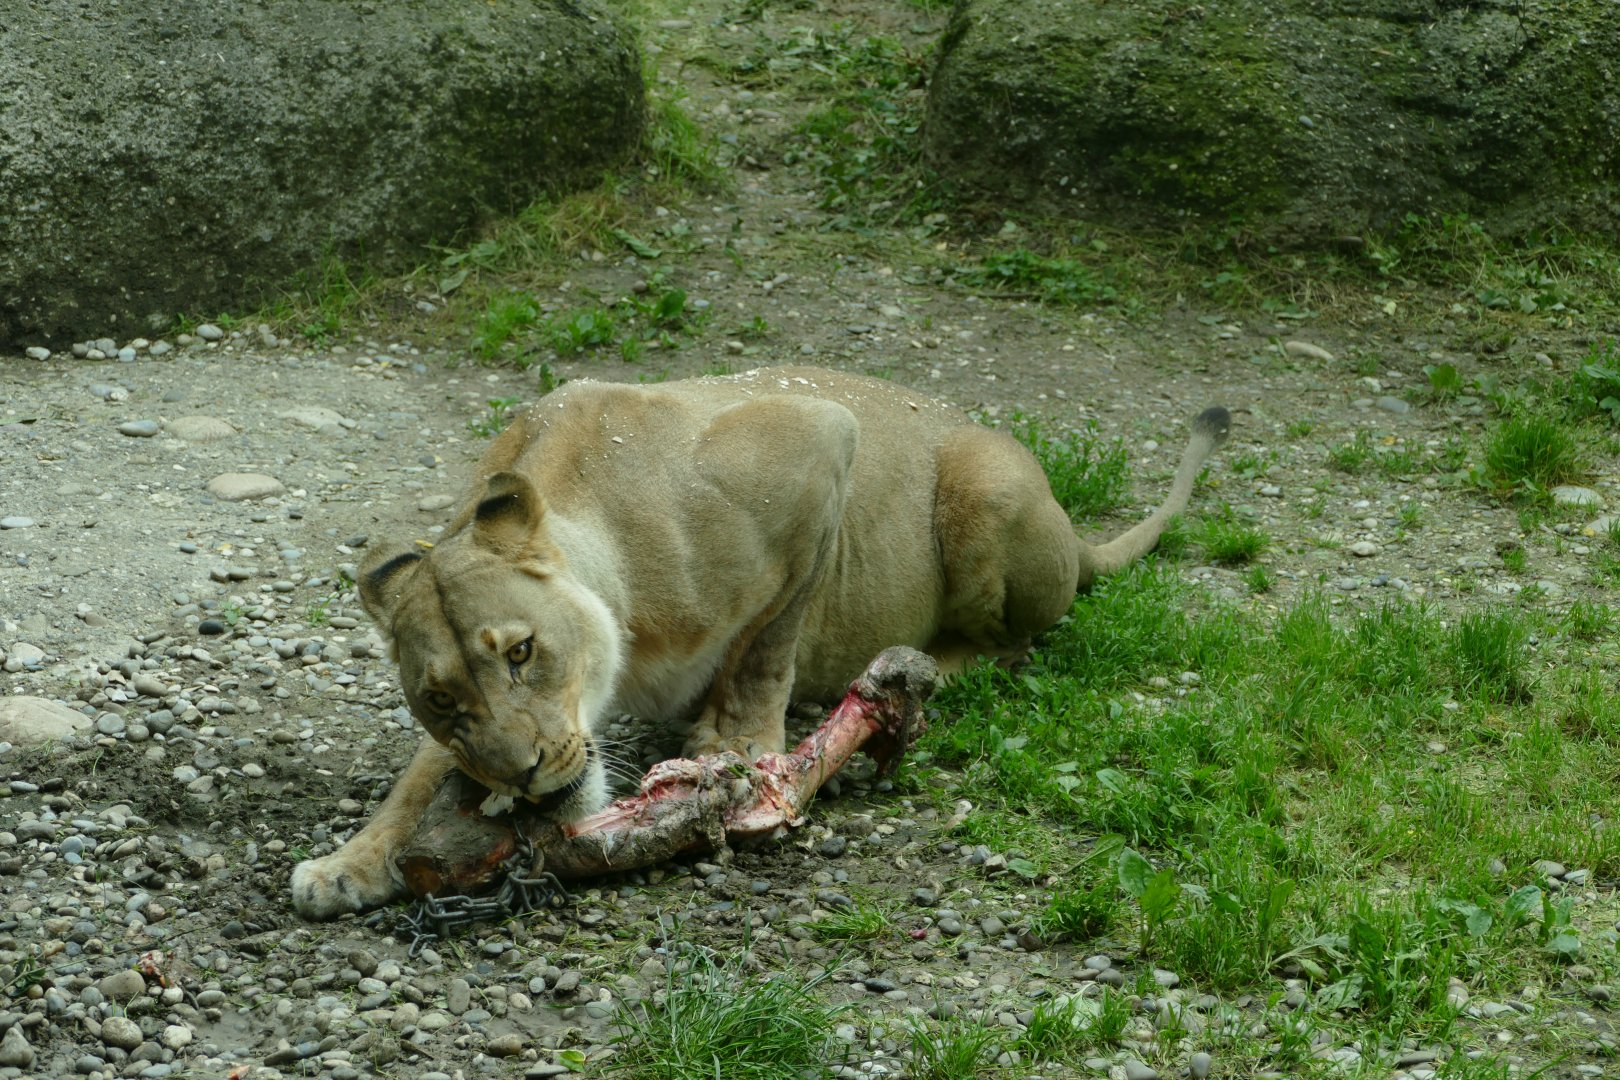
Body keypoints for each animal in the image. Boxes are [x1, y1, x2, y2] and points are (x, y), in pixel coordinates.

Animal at [291, 365, 1229, 918]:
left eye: (521, 652)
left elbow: (767, 647)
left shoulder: (818, 443)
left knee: (1015, 644)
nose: (521, 776)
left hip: (987, 487)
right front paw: (351, 860)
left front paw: (737, 745)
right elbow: (419, 774)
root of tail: (1076, 536)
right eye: (442, 699)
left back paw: (930, 666)